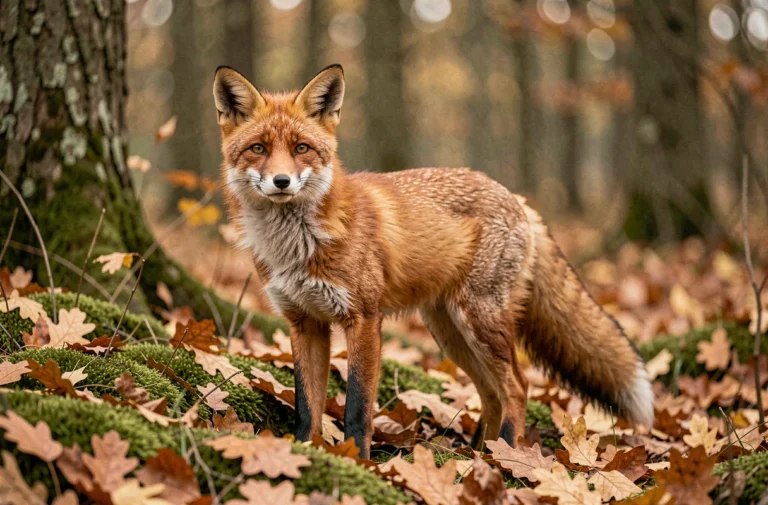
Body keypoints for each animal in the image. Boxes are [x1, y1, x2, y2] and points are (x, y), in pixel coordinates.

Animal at [213, 64, 654, 459]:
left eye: (301, 148)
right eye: (259, 149)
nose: (281, 182)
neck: (299, 246)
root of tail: (517, 198)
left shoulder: (364, 318)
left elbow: (357, 406)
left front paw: (358, 459)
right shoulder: (304, 323)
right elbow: (307, 406)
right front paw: (305, 450)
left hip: (479, 322)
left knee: (518, 386)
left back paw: (507, 454)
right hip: (449, 333)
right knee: (491, 393)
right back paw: (479, 453)